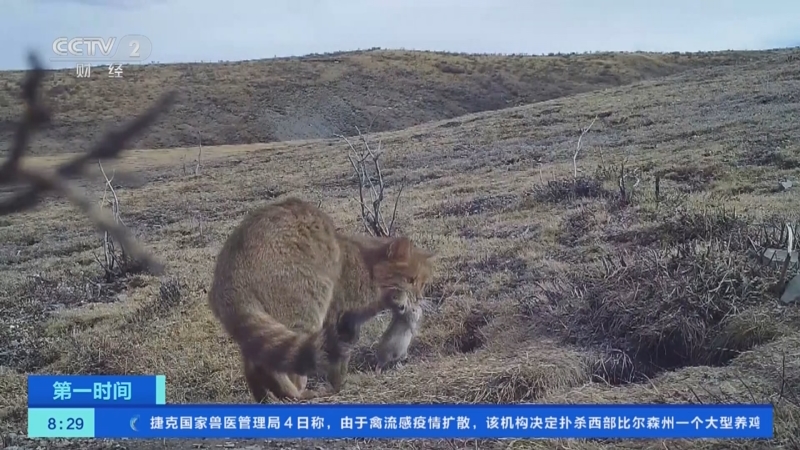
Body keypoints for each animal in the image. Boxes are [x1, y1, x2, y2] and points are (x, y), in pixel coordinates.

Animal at [206, 197, 432, 400]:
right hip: (307, 307)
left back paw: (265, 396)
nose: (420, 298)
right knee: (276, 364)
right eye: (411, 280)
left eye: (421, 284)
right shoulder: (338, 321)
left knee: (255, 360)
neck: (366, 268)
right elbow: (337, 362)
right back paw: (294, 392)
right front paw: (339, 384)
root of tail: (230, 275)